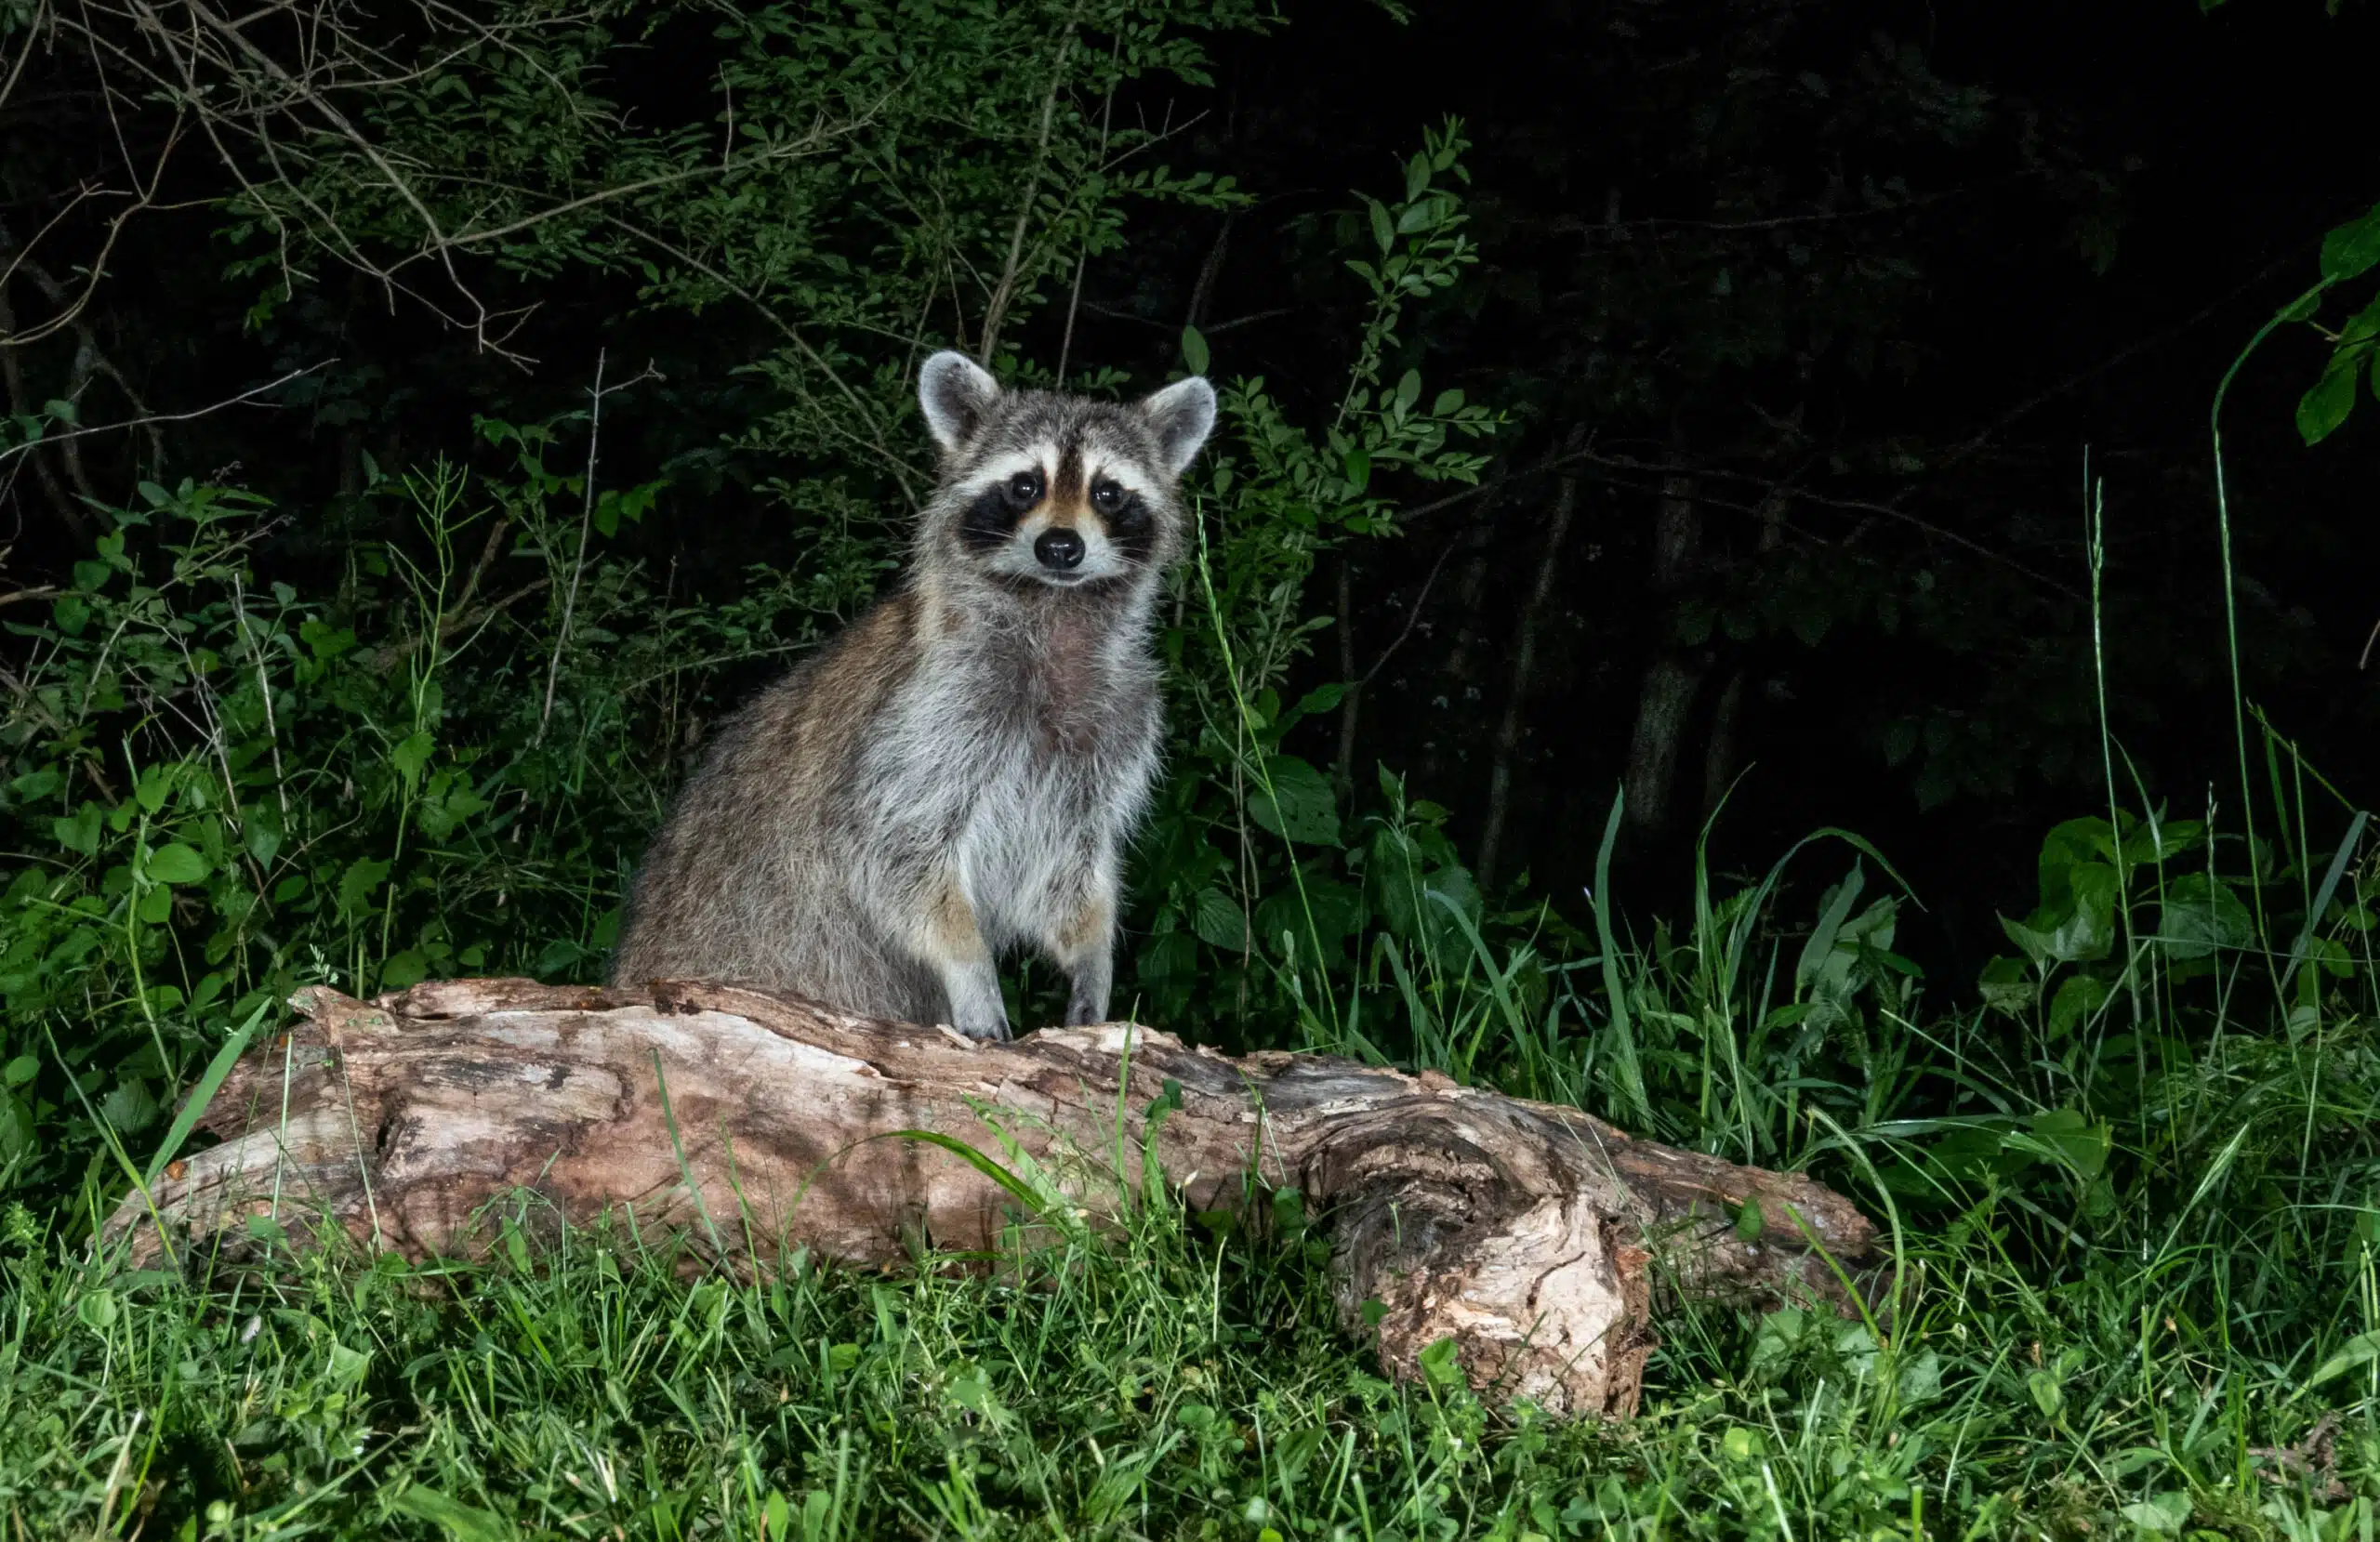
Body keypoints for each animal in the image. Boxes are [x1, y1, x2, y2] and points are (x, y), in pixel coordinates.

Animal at [610, 351, 1217, 1041]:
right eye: (1025, 486)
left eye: (1107, 491)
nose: (1060, 546)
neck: (1055, 608)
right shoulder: (928, 712)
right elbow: (893, 850)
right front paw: (971, 966)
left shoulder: (1116, 721)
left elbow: (1068, 868)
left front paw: (1093, 953)